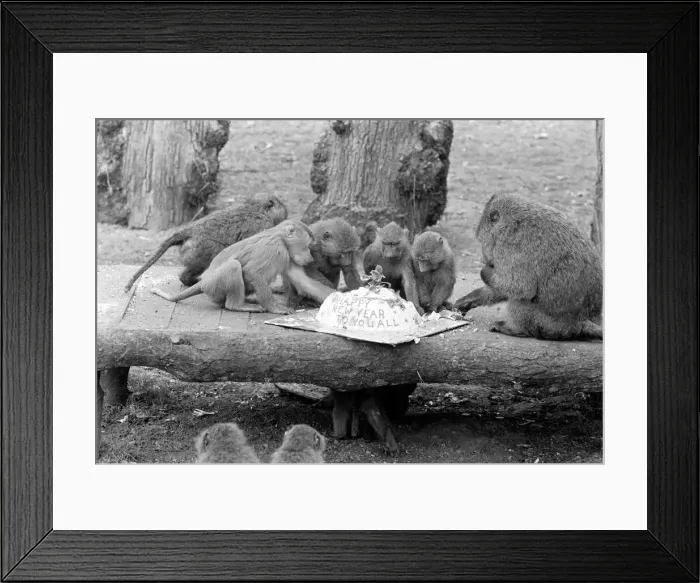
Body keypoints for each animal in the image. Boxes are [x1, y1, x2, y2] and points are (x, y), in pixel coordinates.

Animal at [124, 195, 288, 292]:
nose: (287, 216)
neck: (256, 208)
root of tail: (190, 231)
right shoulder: (263, 226)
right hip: (200, 250)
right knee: (205, 261)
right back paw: (189, 280)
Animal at [150, 220, 333, 315]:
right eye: (308, 246)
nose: (310, 258)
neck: (279, 237)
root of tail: (203, 282)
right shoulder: (275, 248)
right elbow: (253, 272)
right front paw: (274, 308)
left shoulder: (288, 256)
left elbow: (302, 281)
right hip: (214, 286)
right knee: (233, 266)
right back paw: (237, 306)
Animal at [454, 193, 603, 340]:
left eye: (481, 241)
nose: (484, 258)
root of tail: (583, 321)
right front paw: (470, 300)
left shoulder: (509, 246)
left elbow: (521, 288)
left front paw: (484, 271)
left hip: (548, 324)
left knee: (522, 299)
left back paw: (515, 329)